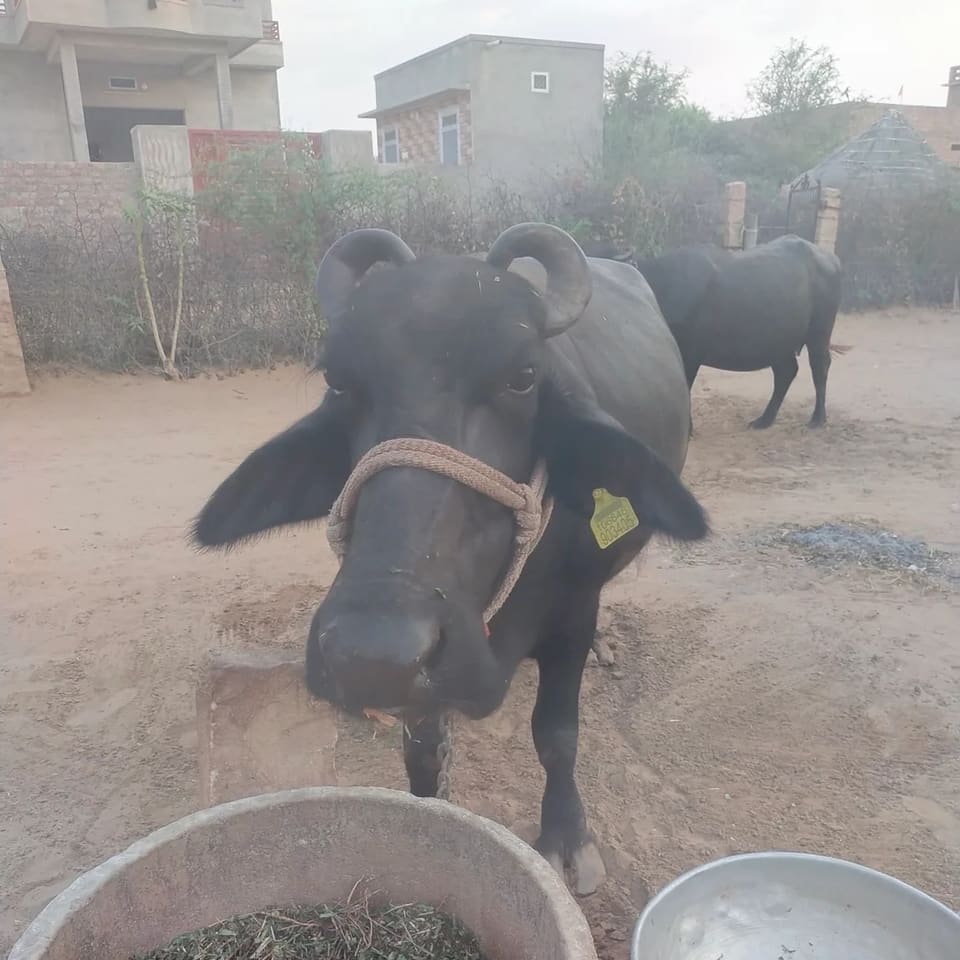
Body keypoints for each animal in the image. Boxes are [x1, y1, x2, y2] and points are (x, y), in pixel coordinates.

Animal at [193, 224, 707, 896]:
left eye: (523, 376)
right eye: (339, 380)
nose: (369, 653)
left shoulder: (573, 613)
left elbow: (557, 735)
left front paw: (567, 838)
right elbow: (421, 752)